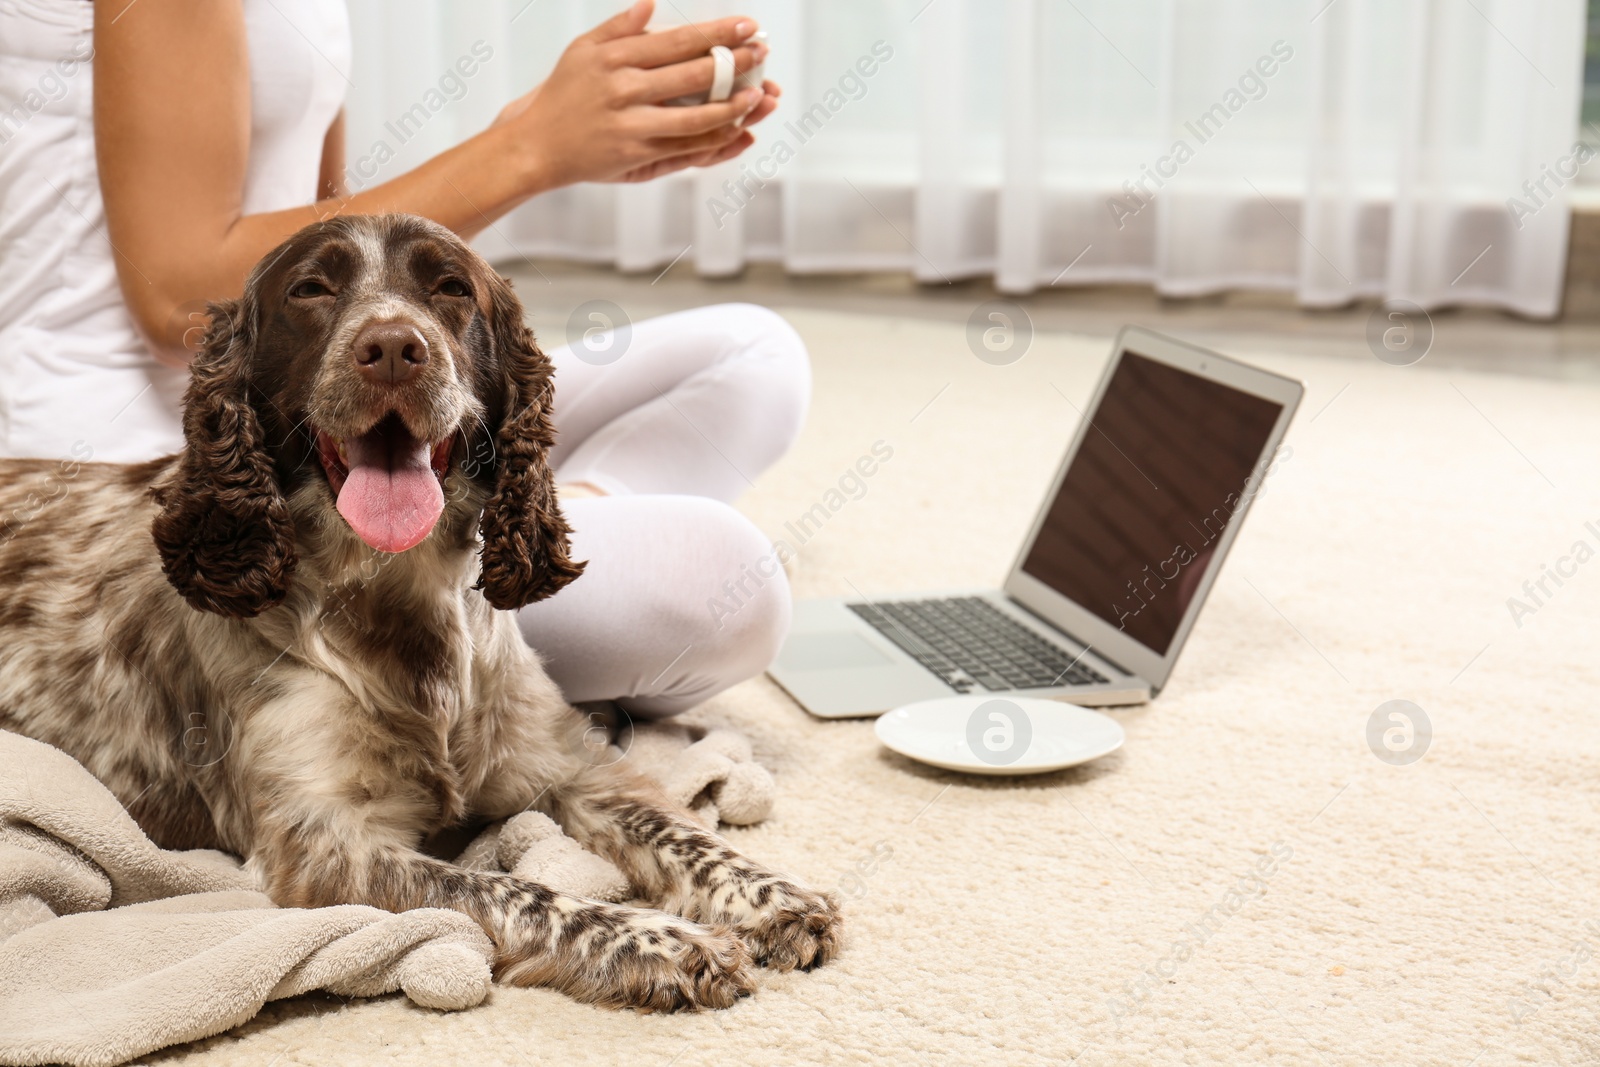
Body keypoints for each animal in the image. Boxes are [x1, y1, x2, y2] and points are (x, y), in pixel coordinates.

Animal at [0, 214, 844, 1011]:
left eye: (451, 289)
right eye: (311, 289)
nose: (393, 347)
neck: (398, 597)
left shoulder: (567, 764)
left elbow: (680, 831)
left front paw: (771, 896)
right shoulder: (326, 846)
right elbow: (515, 891)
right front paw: (662, 942)